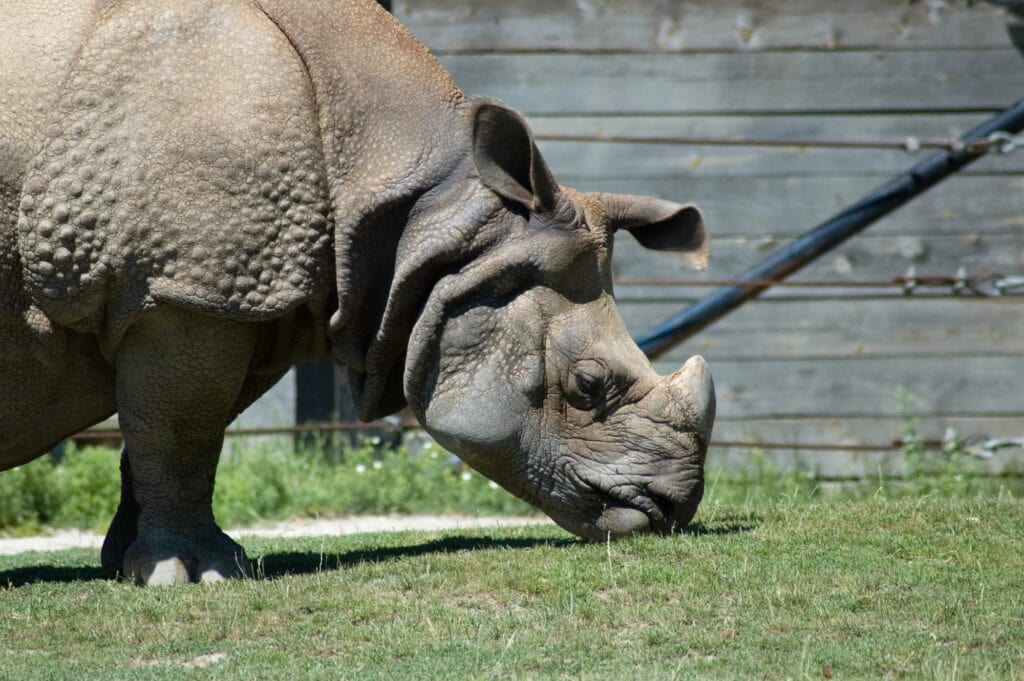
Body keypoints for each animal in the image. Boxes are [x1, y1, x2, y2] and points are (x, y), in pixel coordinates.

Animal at [0, 0, 715, 585]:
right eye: (589, 385)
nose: (672, 508)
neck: (433, 216)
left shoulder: (236, 294)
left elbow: (176, 426)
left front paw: (131, 566)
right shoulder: (186, 289)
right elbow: (182, 428)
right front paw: (192, 575)